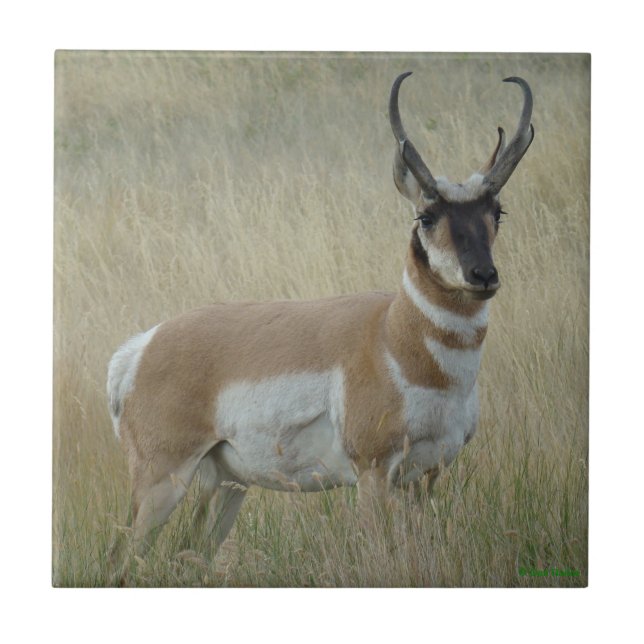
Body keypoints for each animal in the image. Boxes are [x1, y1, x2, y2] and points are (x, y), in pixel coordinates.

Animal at [107, 72, 534, 555]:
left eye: (497, 211)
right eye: (426, 216)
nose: (483, 274)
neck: (391, 335)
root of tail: (141, 346)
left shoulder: (426, 475)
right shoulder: (373, 473)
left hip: (227, 483)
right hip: (162, 479)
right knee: (123, 558)